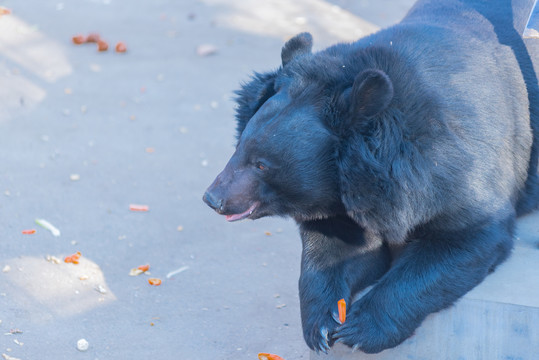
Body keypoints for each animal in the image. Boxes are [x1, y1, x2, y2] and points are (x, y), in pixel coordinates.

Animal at [204, 0, 539, 354]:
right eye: (240, 146)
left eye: (262, 165)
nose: (213, 198)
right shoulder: (342, 197)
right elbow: (338, 248)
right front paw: (321, 326)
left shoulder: (453, 168)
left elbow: (465, 236)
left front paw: (361, 329)